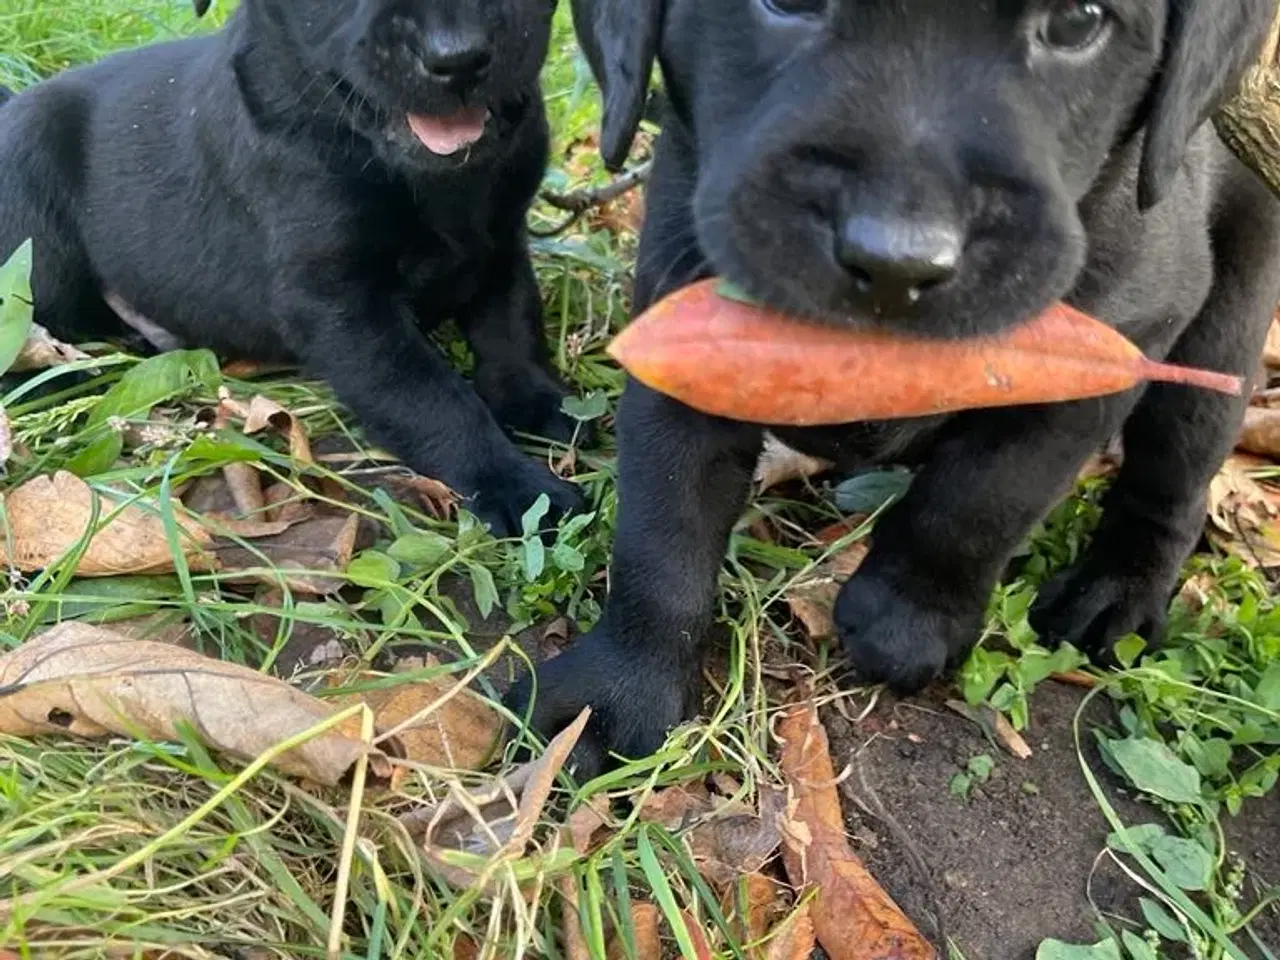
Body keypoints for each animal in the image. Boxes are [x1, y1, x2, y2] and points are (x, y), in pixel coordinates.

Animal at [0, 0, 583, 542]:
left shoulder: (501, 239)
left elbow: (511, 326)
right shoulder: (337, 304)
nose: (456, 56)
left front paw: (543, 401)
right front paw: (516, 487)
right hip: (35, 214)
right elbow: (430, 397)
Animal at [506, 0, 1280, 773]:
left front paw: (904, 618)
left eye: (1077, 22)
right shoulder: (681, 319)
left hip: (1221, 340)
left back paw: (1118, 590)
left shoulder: (1118, 343)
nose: (896, 262)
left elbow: (985, 495)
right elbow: (664, 525)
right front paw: (620, 689)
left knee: (1175, 481)